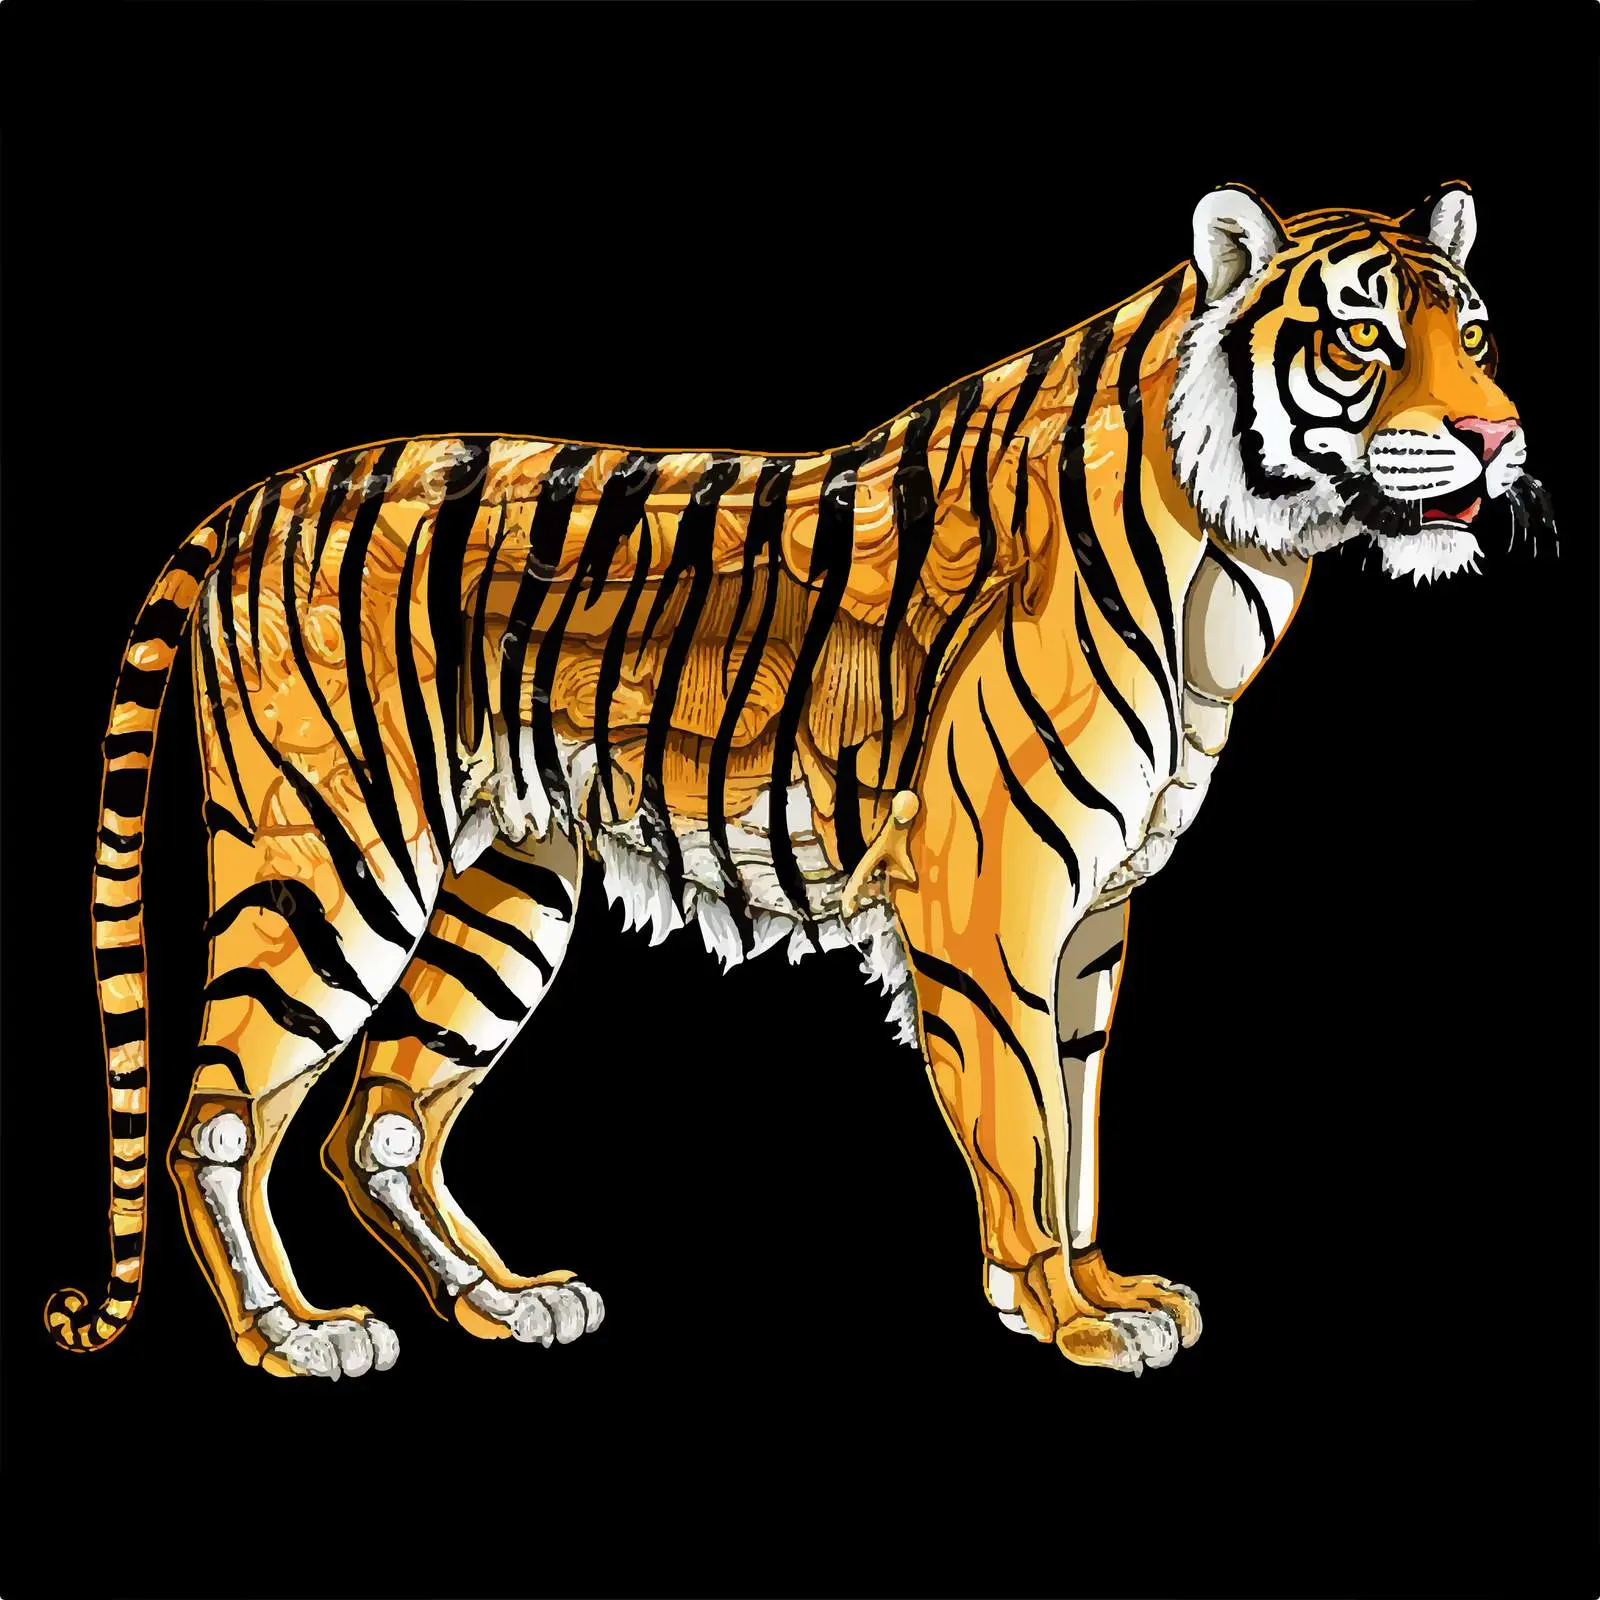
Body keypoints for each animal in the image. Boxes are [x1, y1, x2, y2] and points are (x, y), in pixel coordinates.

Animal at [45, 181, 1552, 1379]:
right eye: (1363, 337)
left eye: (1474, 335)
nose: (1497, 439)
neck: (1230, 563)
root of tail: (249, 500)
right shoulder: (988, 900)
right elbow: (1026, 1128)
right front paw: (1070, 1320)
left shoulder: (1096, 921)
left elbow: (1080, 1134)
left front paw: (1107, 1286)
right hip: (331, 864)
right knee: (218, 1118)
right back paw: (296, 1338)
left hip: (505, 892)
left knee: (381, 1120)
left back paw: (506, 1303)